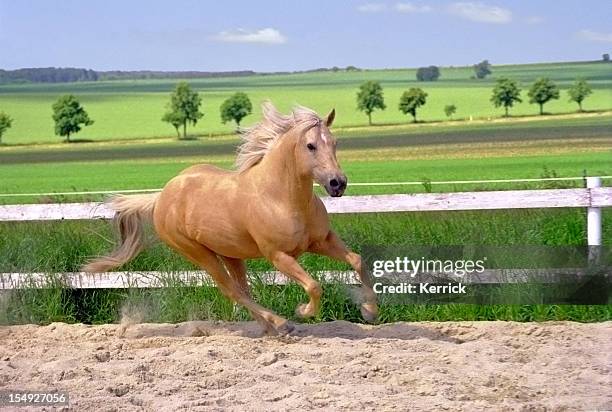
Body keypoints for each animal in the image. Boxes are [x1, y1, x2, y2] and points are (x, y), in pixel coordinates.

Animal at [81, 102, 378, 334]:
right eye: (311, 145)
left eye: (335, 143)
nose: (338, 183)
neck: (281, 198)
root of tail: (162, 197)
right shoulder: (279, 256)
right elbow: (315, 285)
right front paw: (304, 311)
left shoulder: (322, 241)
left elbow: (357, 261)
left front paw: (369, 311)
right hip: (199, 254)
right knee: (231, 290)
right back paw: (282, 324)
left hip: (230, 253)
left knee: (241, 290)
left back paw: (271, 327)